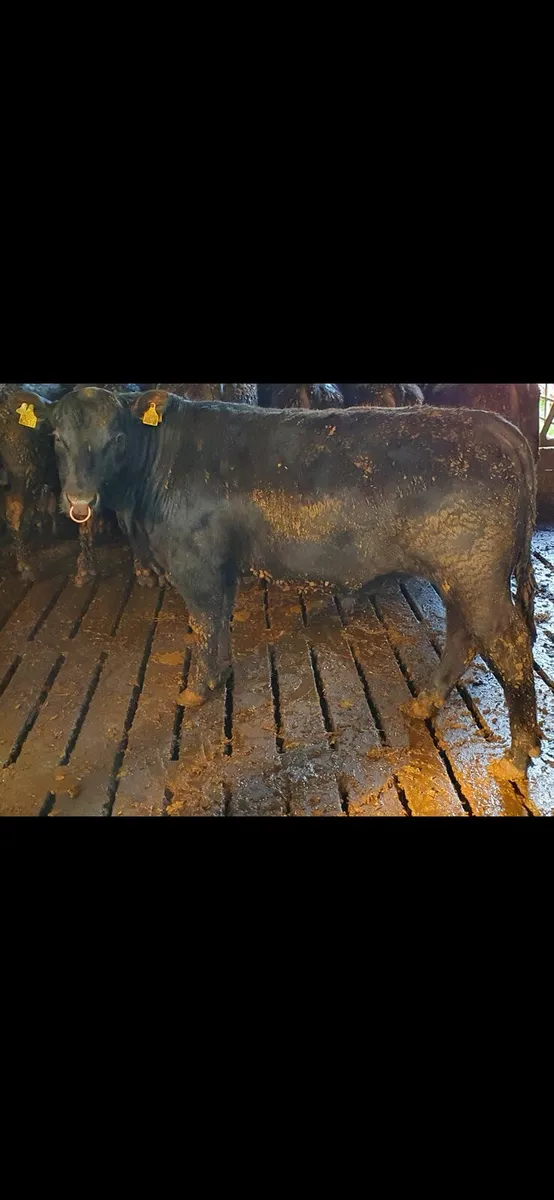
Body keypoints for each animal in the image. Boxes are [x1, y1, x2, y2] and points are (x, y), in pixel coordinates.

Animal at [22, 386, 541, 783]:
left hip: (477, 578)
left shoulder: (196, 564)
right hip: (459, 579)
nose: (80, 500)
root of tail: (495, 425)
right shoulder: (220, 564)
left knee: (511, 645)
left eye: (115, 437)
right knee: (462, 636)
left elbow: (205, 621)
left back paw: (518, 756)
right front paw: (219, 675)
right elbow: (219, 620)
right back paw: (425, 704)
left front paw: (200, 688)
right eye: (57, 437)